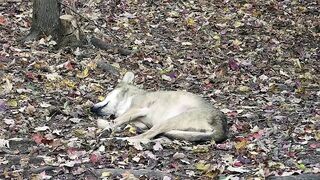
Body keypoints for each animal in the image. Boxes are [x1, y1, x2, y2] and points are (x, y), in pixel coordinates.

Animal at [91, 71, 228, 143]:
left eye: (106, 94)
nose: (91, 109)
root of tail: (223, 128)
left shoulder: (137, 108)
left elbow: (115, 120)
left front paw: (107, 128)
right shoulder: (139, 121)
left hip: (168, 120)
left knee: (145, 136)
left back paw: (121, 139)